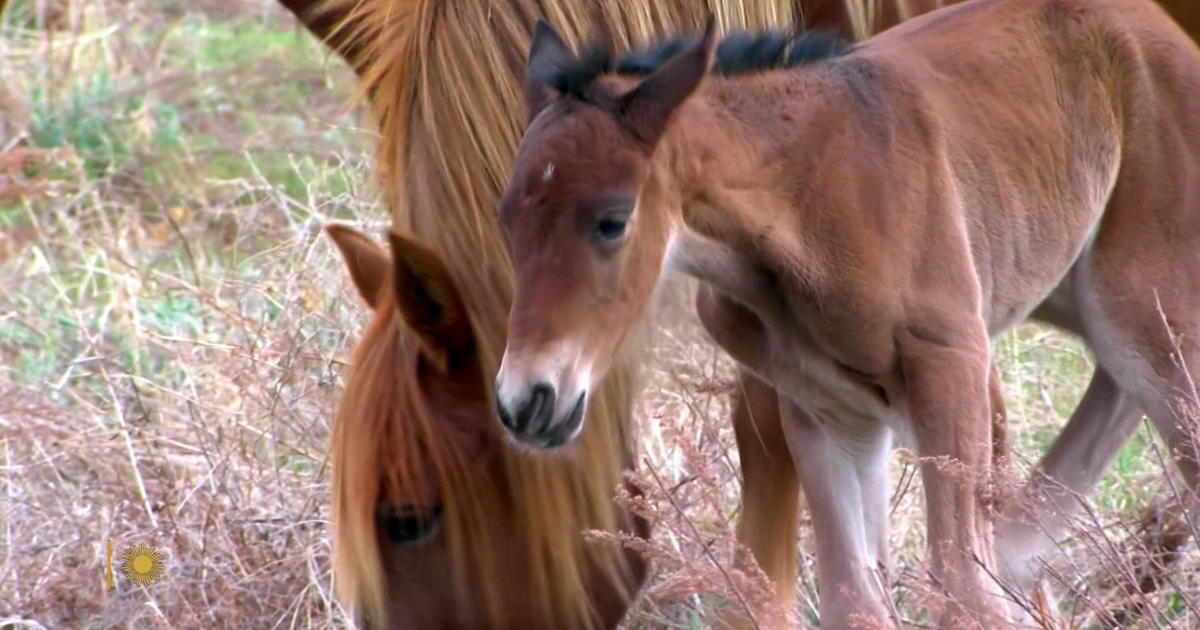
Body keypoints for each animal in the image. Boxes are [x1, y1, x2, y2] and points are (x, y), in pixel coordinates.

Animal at [492, 2, 1200, 624]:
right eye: (506, 221)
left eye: (613, 220)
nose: (525, 402)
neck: (798, 204)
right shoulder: (829, 412)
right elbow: (857, 602)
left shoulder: (950, 364)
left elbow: (963, 589)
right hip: (1076, 295)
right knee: (1117, 391)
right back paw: (1027, 550)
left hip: (1142, 297)